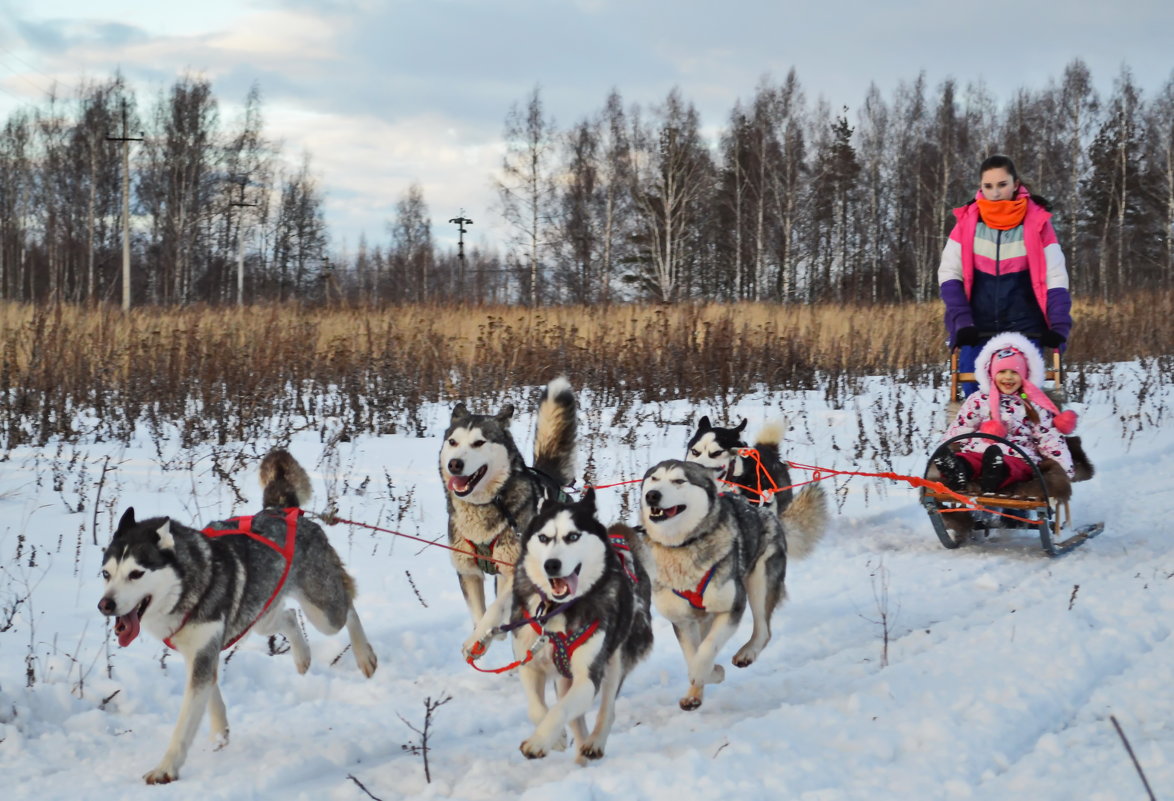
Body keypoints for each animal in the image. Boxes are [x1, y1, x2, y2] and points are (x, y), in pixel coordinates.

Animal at [100, 448, 378, 779]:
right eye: (106, 574)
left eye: (136, 574)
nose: (105, 605)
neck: (191, 584)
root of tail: (282, 510)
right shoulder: (198, 652)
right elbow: (211, 698)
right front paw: (220, 734)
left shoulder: (203, 652)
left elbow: (185, 722)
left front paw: (166, 768)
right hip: (260, 615)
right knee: (289, 616)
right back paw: (302, 656)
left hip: (323, 612)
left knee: (347, 607)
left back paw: (364, 655)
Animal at [439, 378, 575, 634]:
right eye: (452, 442)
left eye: (479, 443)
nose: (454, 464)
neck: (483, 506)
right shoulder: (468, 573)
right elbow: (479, 614)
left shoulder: (514, 570)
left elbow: (493, 612)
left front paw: (486, 634)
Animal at [464, 486, 652, 761]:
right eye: (543, 538)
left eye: (573, 536)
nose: (551, 564)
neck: (556, 609)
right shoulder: (529, 665)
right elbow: (537, 708)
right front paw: (557, 738)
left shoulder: (587, 677)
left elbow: (559, 710)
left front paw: (539, 741)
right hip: (564, 681)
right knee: (576, 719)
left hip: (616, 659)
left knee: (607, 707)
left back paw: (595, 742)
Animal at [643, 458, 826, 709]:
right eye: (654, 478)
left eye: (679, 481)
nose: (652, 495)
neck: (682, 547)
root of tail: (765, 511)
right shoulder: (682, 620)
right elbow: (693, 654)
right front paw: (705, 678)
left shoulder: (732, 607)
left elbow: (706, 649)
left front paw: (704, 672)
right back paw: (694, 695)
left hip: (759, 582)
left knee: (763, 629)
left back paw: (747, 653)